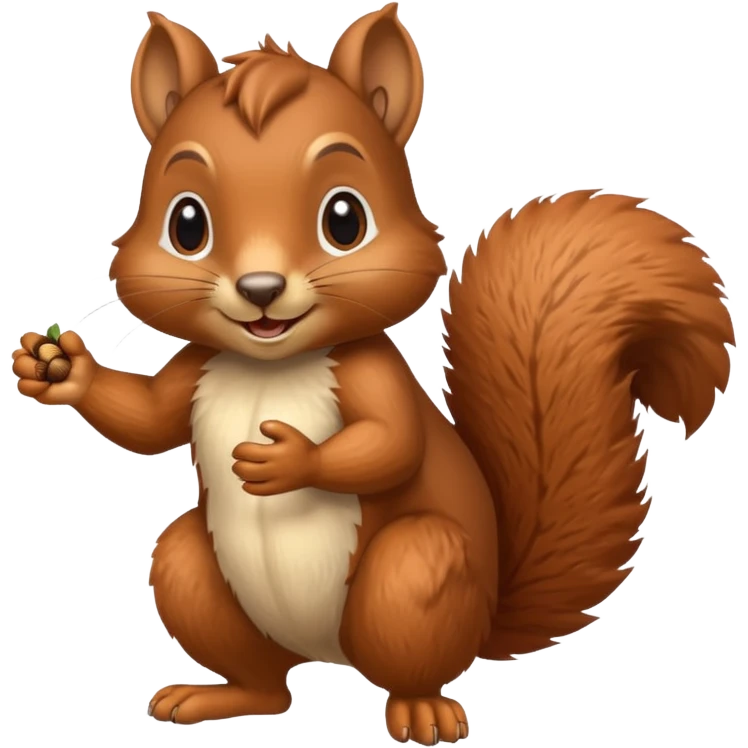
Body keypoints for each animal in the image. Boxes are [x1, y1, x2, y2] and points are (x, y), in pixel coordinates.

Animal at [11, 4, 735, 745]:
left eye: (345, 218)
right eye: (186, 224)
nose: (261, 288)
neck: (272, 363)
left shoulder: (372, 371)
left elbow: (390, 444)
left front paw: (289, 459)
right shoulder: (196, 368)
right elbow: (149, 419)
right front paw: (60, 370)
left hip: (413, 576)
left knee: (407, 654)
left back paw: (421, 711)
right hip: (199, 576)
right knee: (264, 679)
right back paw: (216, 697)